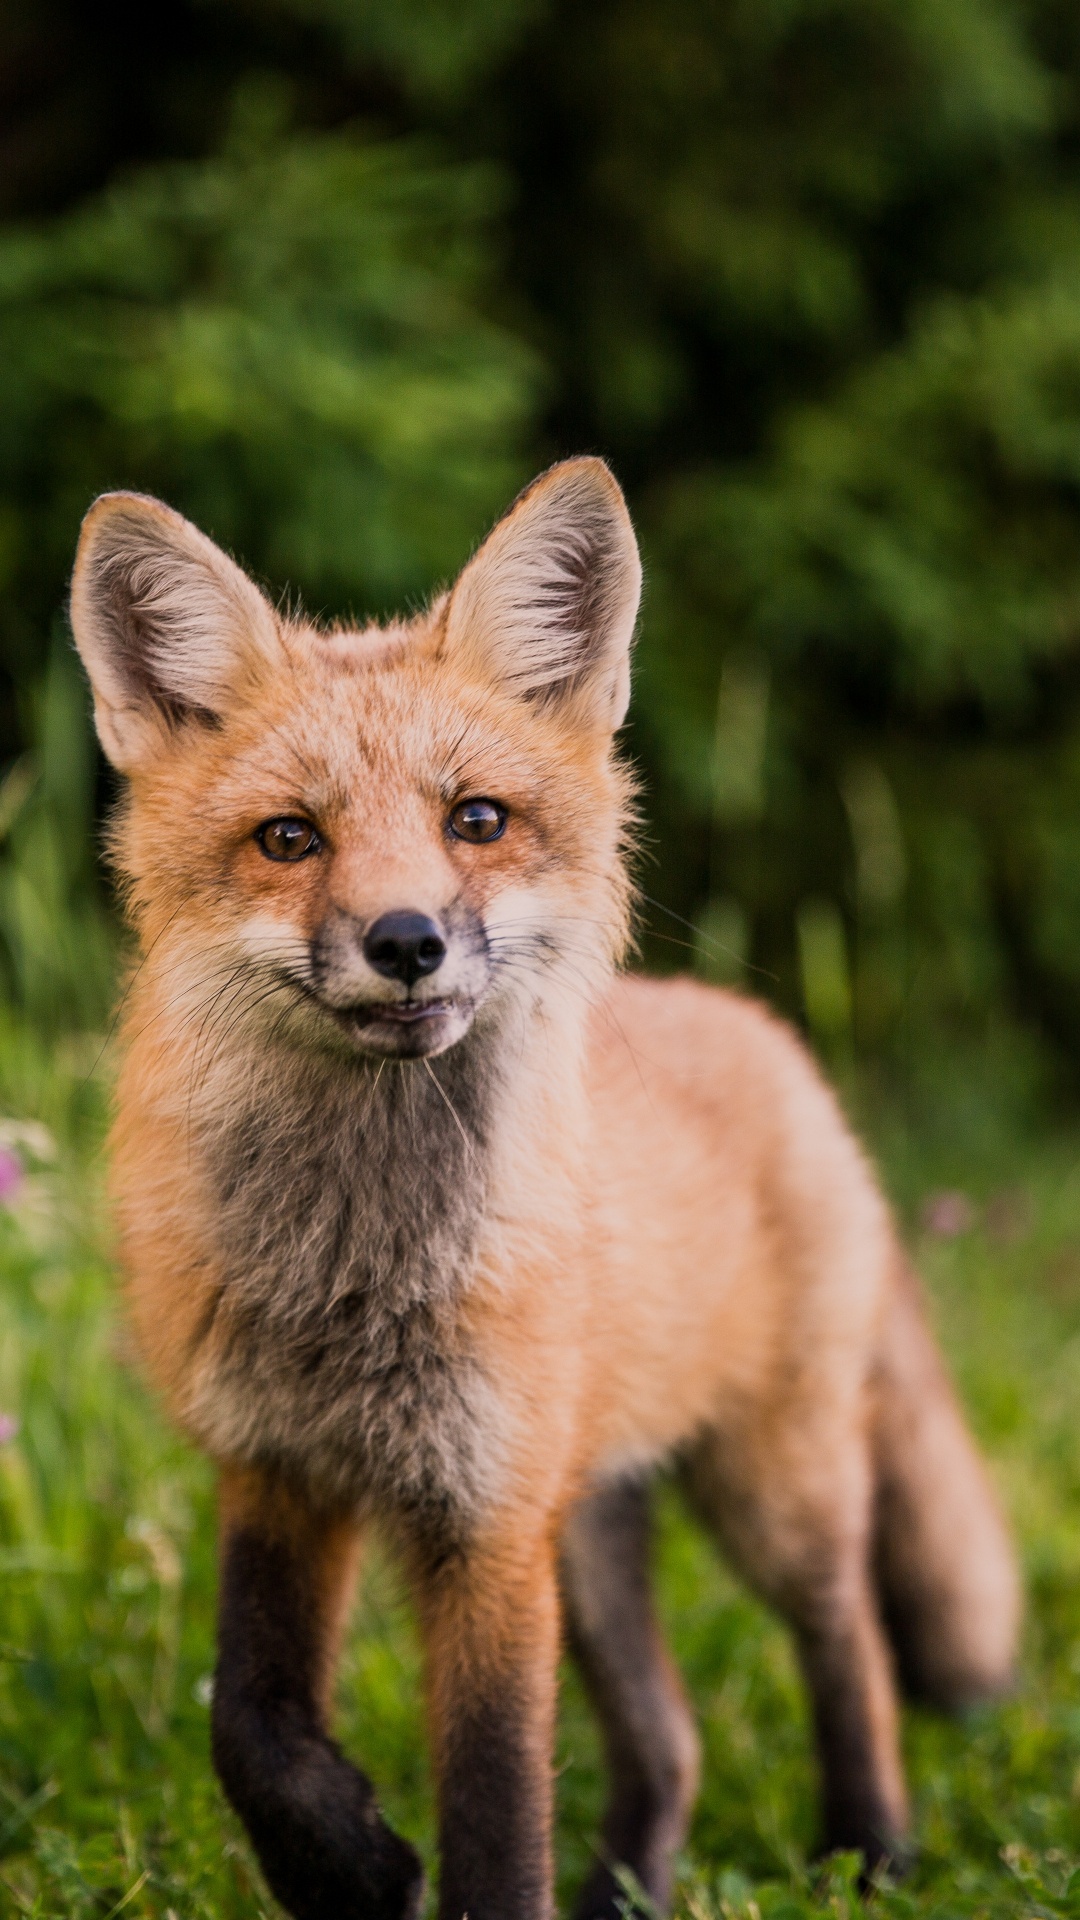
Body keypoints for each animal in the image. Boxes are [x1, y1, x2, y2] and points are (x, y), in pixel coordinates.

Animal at [69, 458, 1019, 1920]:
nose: (406, 941)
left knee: (848, 1635)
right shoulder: (278, 1469)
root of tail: (768, 1037)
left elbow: (498, 1804)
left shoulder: (487, 1521)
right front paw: (348, 1866)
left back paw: (871, 1849)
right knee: (674, 1737)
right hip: (596, 1527)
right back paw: (632, 1885)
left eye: (477, 821)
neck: (358, 1279)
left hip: (771, 1488)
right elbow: (252, 1724)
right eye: (289, 838)